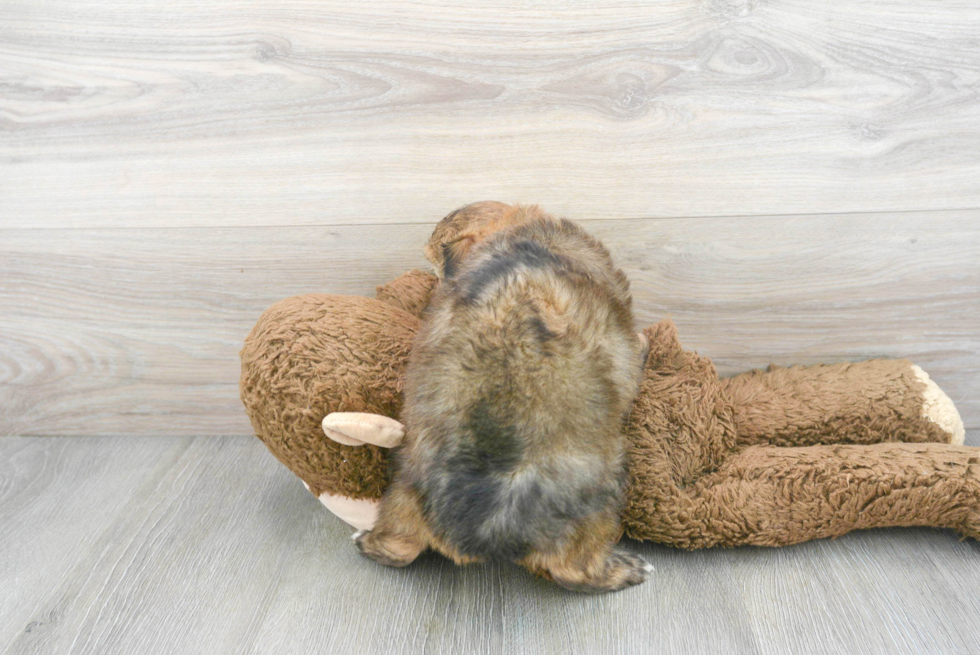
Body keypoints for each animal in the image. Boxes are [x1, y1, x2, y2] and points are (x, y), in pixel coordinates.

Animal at [354, 201, 652, 596]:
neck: (519, 234)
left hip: (404, 488)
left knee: (397, 544)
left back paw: (368, 539)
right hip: (601, 494)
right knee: (574, 570)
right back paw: (626, 569)